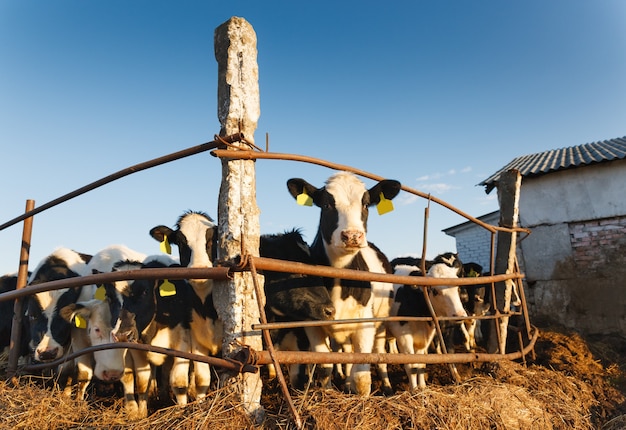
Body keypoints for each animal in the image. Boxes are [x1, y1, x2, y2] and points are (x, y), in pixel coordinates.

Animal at [284, 171, 400, 396]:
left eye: (366, 204)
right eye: (327, 204)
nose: (352, 235)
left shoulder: (365, 322)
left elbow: (362, 376)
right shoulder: (312, 323)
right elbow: (326, 364)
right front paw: (328, 393)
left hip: (381, 319)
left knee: (379, 355)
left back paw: (387, 387)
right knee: (343, 354)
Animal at [386, 250, 468, 392]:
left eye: (457, 287)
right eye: (434, 290)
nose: (459, 314)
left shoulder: (425, 335)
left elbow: (421, 362)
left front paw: (423, 386)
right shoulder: (403, 335)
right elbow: (411, 365)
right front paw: (414, 390)